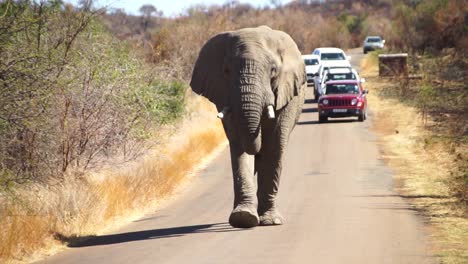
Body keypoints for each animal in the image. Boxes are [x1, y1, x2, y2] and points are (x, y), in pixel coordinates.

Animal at [190, 26, 308, 229]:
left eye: (273, 70)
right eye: (226, 71)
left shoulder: (285, 96)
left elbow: (273, 147)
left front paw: (270, 221)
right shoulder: (226, 95)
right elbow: (239, 147)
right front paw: (243, 218)